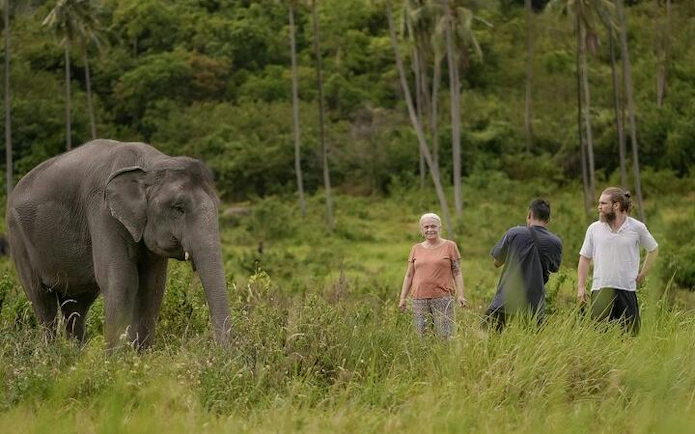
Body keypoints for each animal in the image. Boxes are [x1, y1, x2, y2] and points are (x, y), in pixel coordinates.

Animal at [6, 139, 231, 349]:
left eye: (217, 206)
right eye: (178, 208)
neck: (150, 165)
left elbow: (153, 285)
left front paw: (140, 357)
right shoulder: (103, 213)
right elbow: (121, 281)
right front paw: (114, 361)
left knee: (76, 306)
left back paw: (76, 356)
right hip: (18, 239)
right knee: (42, 301)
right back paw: (53, 356)